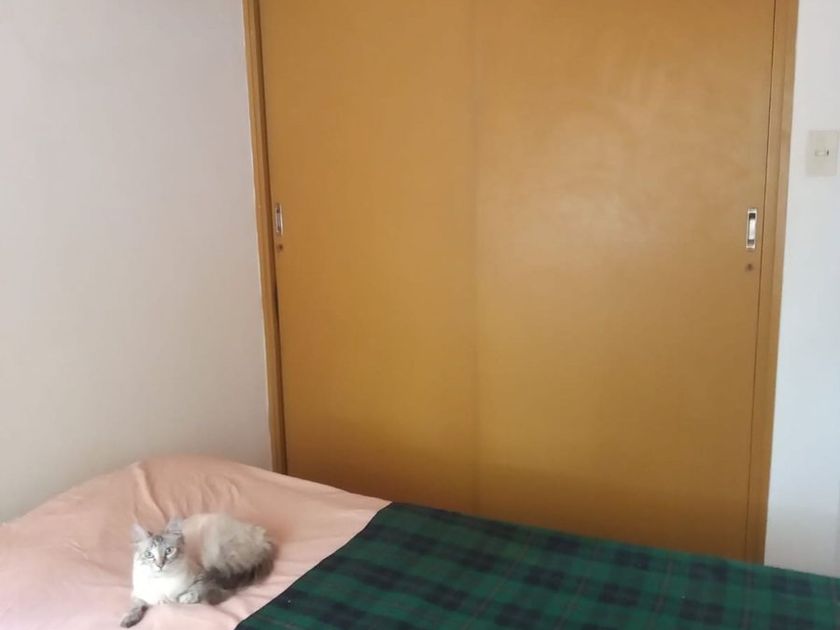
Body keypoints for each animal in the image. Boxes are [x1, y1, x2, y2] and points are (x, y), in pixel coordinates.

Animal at [120, 513, 275, 627]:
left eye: (169, 551)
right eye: (149, 555)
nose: (160, 565)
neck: (163, 582)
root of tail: (261, 534)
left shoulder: (201, 575)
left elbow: (195, 591)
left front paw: (184, 599)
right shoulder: (139, 594)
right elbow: (136, 606)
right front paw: (128, 620)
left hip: (216, 558)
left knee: (226, 589)